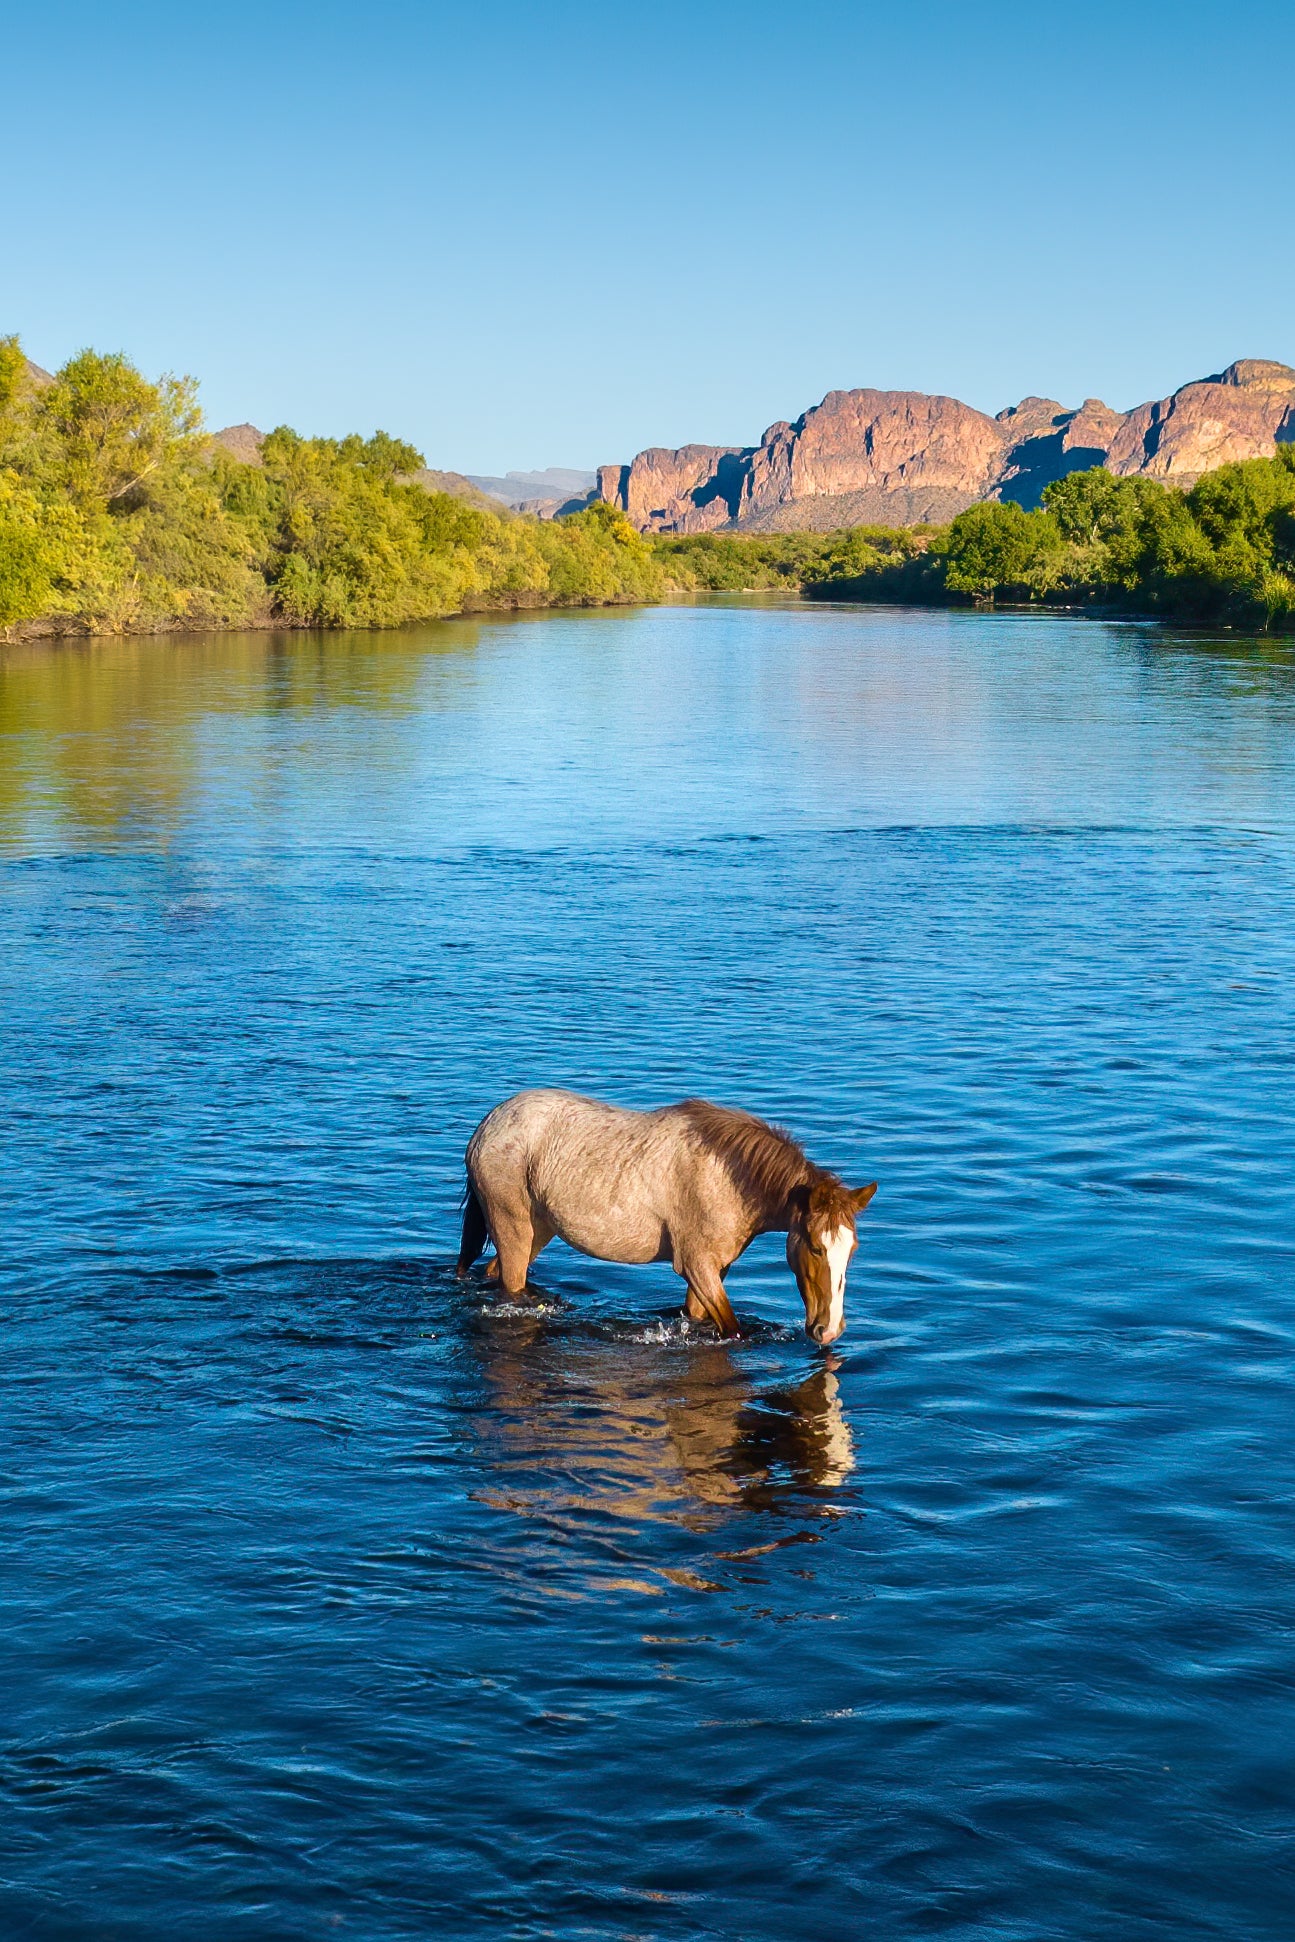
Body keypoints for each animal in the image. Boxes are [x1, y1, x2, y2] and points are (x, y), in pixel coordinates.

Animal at [456, 1087, 881, 1343]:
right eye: (815, 1248)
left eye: (852, 1250)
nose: (829, 1330)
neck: (728, 1175)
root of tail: (487, 1125)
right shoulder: (697, 1265)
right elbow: (734, 1330)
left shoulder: (713, 1269)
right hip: (513, 1229)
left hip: (538, 1231)